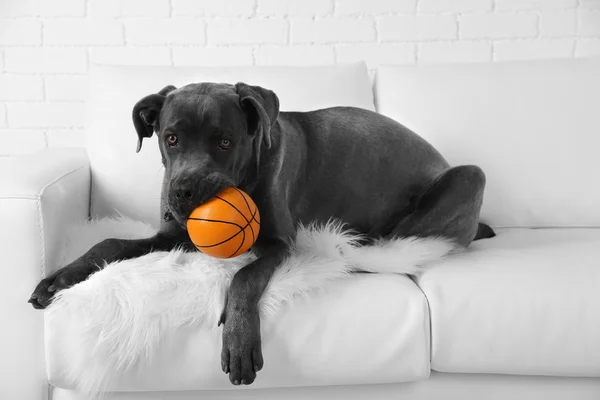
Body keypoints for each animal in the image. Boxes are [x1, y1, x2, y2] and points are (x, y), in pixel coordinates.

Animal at [28, 81, 494, 384]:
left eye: (225, 141)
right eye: (171, 138)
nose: (184, 192)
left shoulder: (276, 244)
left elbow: (244, 275)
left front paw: (238, 340)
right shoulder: (170, 236)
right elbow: (110, 241)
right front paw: (58, 278)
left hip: (469, 176)